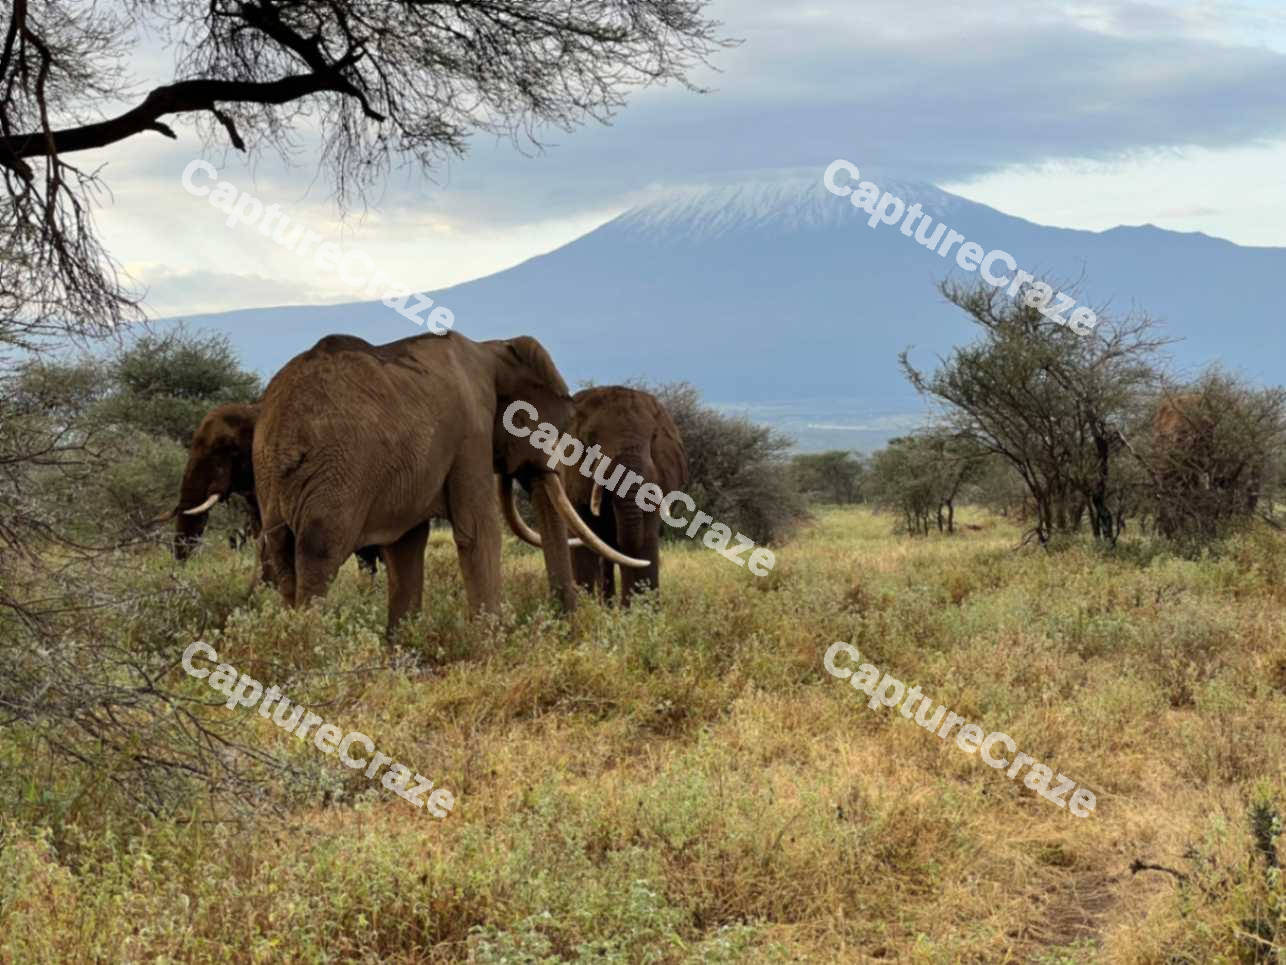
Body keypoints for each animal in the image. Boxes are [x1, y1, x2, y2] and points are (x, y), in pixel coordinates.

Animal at [251, 331, 642, 633]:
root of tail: (284, 430)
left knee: (284, 558)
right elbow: (479, 531)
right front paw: (493, 645)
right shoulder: (471, 433)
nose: (567, 628)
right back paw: (311, 646)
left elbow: (406, 546)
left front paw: (402, 651)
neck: (492, 350)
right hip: (338, 470)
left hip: (270, 477)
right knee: (319, 554)